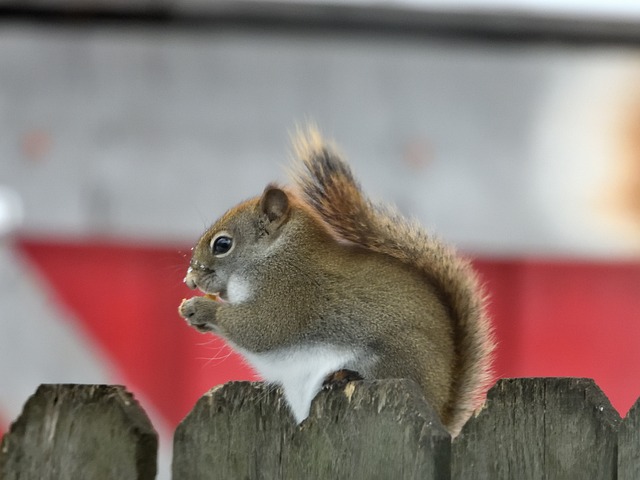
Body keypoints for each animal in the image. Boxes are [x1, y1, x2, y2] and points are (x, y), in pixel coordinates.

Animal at [180, 127, 496, 436]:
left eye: (222, 244)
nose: (190, 278)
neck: (276, 254)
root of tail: (440, 409)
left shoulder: (290, 294)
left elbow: (260, 328)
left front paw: (200, 309)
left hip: (400, 356)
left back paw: (346, 375)